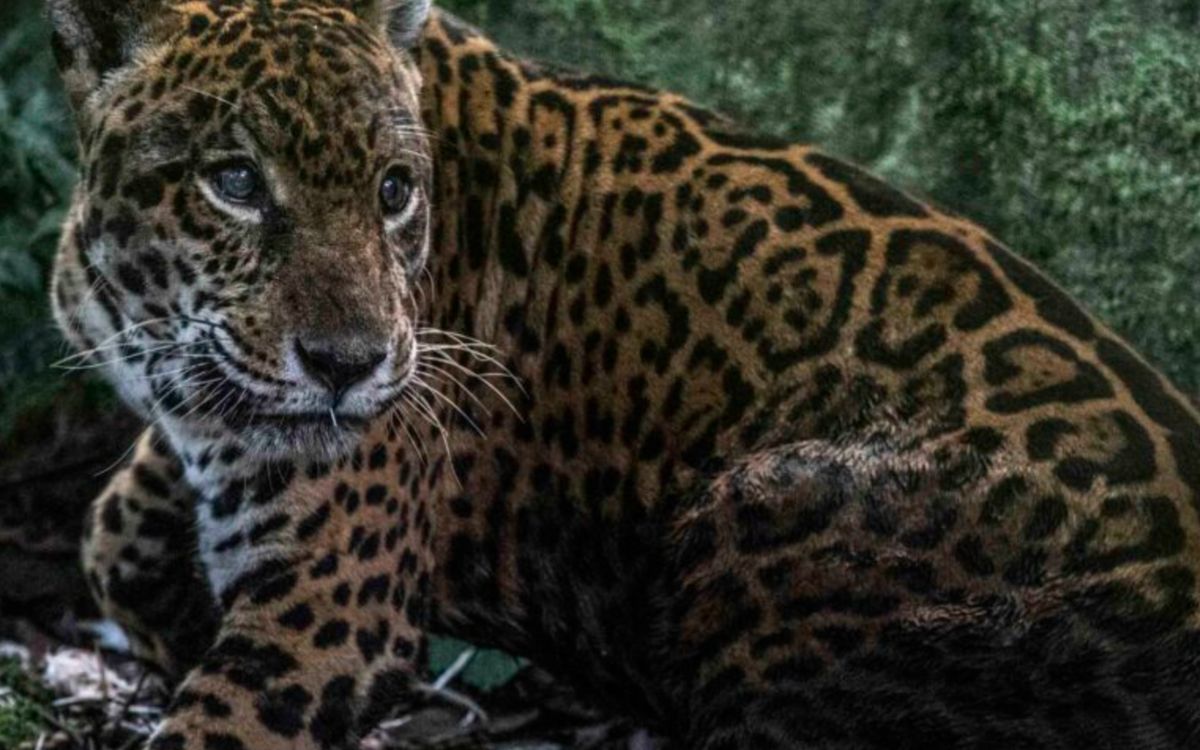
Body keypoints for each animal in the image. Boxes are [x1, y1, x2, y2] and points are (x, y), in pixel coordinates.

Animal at [42, 0, 1200, 747]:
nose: (349, 366)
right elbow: (116, 528)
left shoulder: (327, 615)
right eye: (235, 182)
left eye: (394, 189)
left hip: (765, 504)